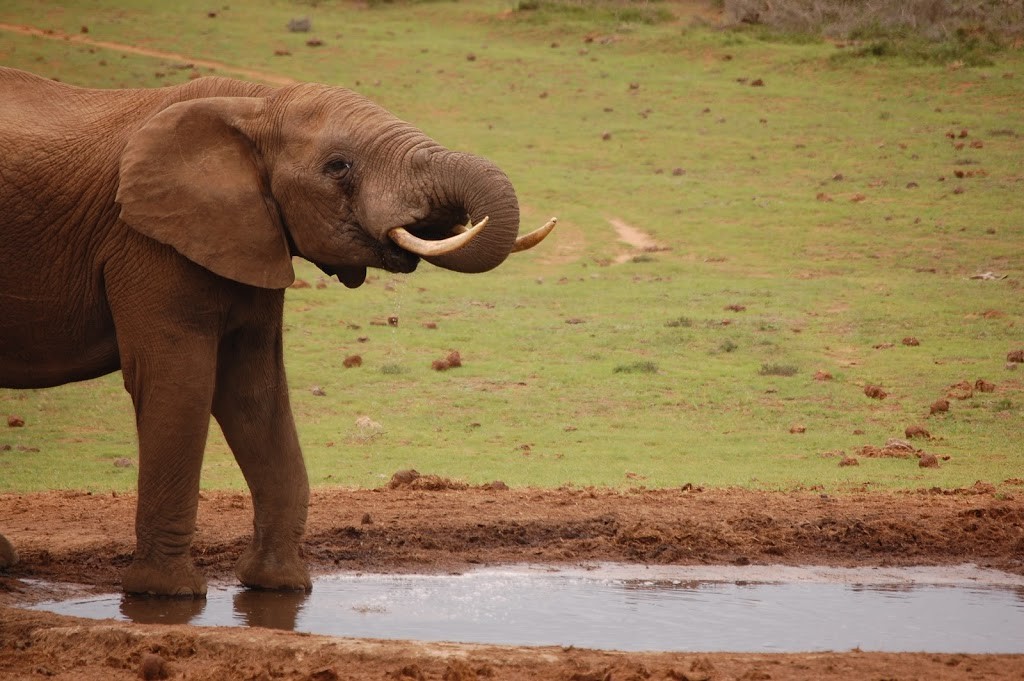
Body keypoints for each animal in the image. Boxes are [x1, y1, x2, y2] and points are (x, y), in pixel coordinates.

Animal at [0, 67, 557, 593]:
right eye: (338, 166)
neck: (254, 104)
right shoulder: (144, 240)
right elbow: (176, 383)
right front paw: (167, 594)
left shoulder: (250, 234)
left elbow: (254, 391)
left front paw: (279, 584)